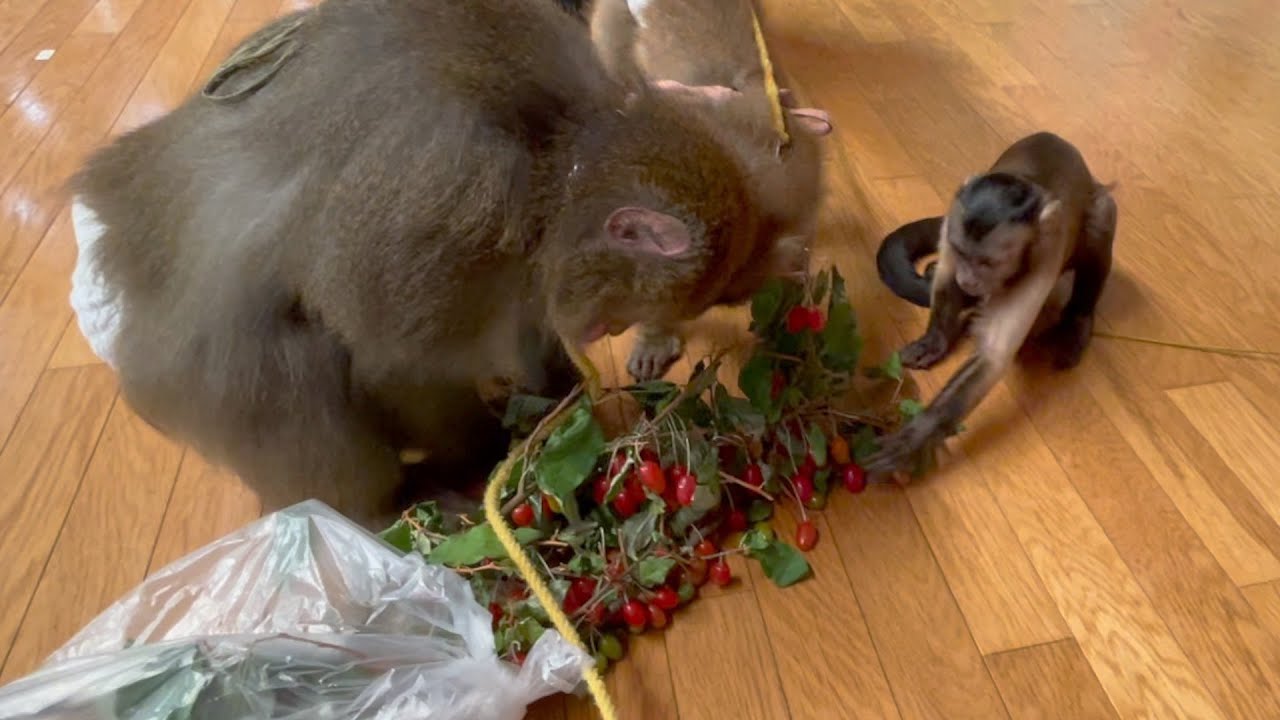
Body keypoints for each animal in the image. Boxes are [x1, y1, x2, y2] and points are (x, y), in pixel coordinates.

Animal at [67, 0, 807, 526]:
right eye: (638, 306)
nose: (608, 330)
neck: (552, 155)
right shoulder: (454, 209)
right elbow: (394, 366)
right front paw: (482, 454)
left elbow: (522, 318)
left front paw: (556, 395)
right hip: (206, 393)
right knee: (293, 362)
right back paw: (382, 507)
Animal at [863, 131, 1117, 476]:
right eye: (963, 253)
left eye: (987, 263)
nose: (969, 279)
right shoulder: (953, 221)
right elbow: (947, 282)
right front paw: (936, 338)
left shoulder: (1045, 248)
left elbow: (994, 353)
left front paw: (917, 435)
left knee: (1103, 215)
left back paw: (1077, 322)